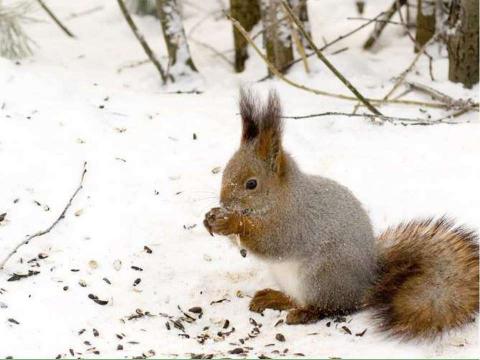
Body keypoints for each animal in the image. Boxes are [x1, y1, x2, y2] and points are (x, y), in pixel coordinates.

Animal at [203, 88, 480, 338]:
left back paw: (303, 313)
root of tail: (367, 282)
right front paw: (212, 219)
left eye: (252, 184)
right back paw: (273, 297)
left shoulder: (295, 223)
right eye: (225, 171)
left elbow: (271, 242)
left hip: (322, 277)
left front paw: (231, 222)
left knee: (331, 307)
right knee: (299, 299)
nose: (224, 202)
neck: (282, 199)